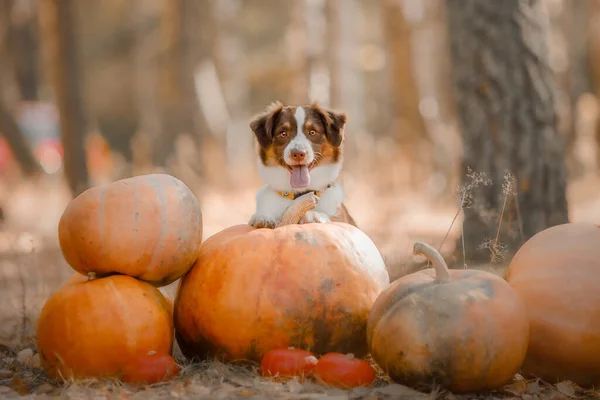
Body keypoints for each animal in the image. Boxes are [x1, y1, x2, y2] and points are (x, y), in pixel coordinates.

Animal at [246, 101, 354, 230]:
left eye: (312, 132)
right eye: (283, 133)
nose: (298, 153)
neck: (298, 195)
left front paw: (313, 214)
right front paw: (262, 217)